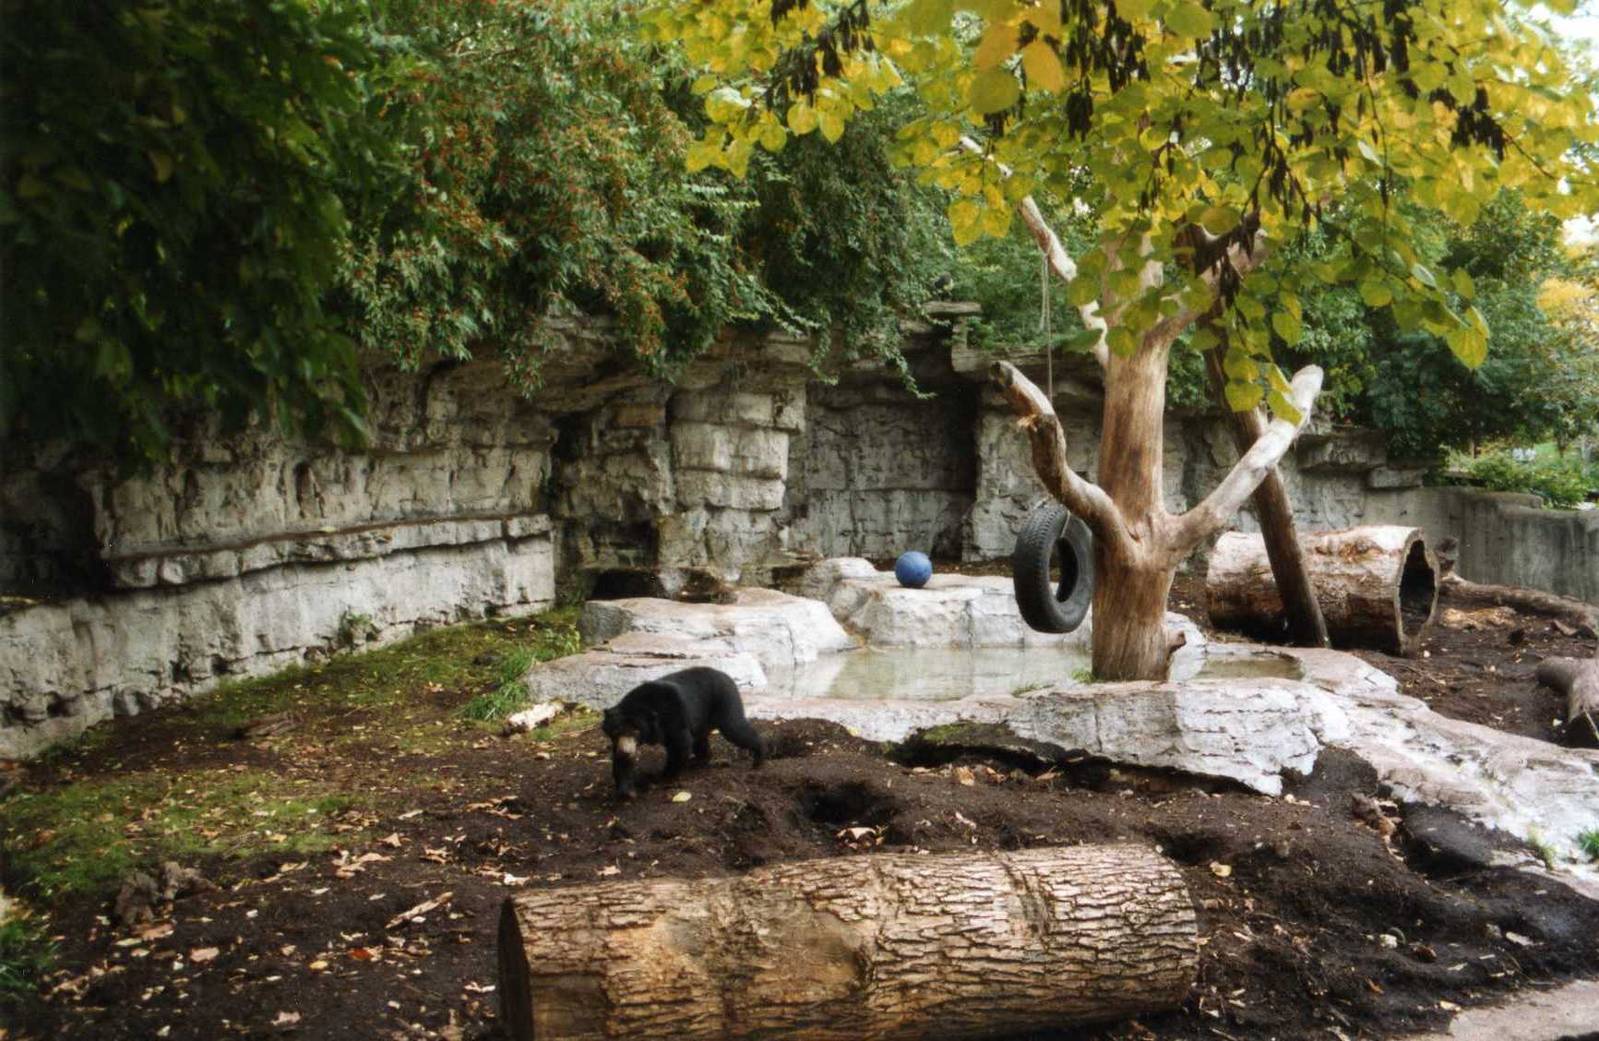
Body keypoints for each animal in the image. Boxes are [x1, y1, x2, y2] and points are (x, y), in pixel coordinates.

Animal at [601, 666, 765, 799]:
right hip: (703, 718)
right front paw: (627, 792)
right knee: (700, 740)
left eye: (636, 731)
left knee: (735, 728)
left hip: (725, 701)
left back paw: (759, 758)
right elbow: (621, 761)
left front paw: (664, 778)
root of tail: (727, 676)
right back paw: (699, 761)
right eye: (615, 731)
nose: (626, 750)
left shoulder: (674, 716)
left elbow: (680, 744)